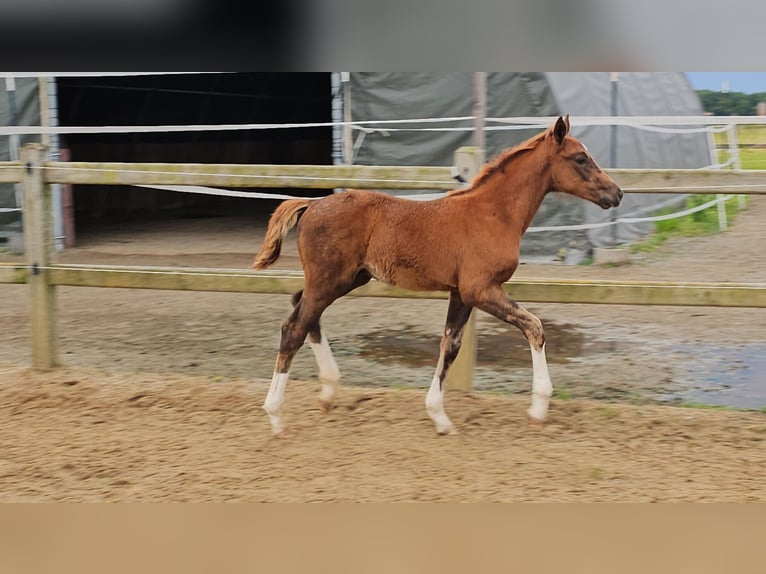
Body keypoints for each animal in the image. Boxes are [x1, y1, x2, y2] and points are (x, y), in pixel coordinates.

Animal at [252, 116, 624, 436]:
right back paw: (276, 416)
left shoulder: (461, 293)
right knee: (294, 328)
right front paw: (538, 408)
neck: (493, 213)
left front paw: (440, 417)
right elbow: (534, 326)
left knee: (302, 310)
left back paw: (328, 392)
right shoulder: (480, 289)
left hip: (345, 279)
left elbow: (451, 345)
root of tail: (312, 204)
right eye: (580, 158)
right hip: (330, 279)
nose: (616, 193)